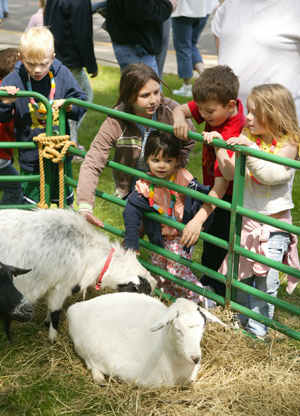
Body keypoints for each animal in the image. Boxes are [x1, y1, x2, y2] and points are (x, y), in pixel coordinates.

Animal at [0, 210, 155, 342]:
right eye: (143, 290)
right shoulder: (62, 285)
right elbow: (55, 312)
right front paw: (53, 338)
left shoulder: (53, 285)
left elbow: (50, 309)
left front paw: (46, 322)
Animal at [66, 292, 225, 386]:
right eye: (178, 329)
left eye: (202, 327)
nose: (196, 358)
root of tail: (75, 308)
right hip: (84, 346)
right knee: (90, 362)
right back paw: (99, 378)